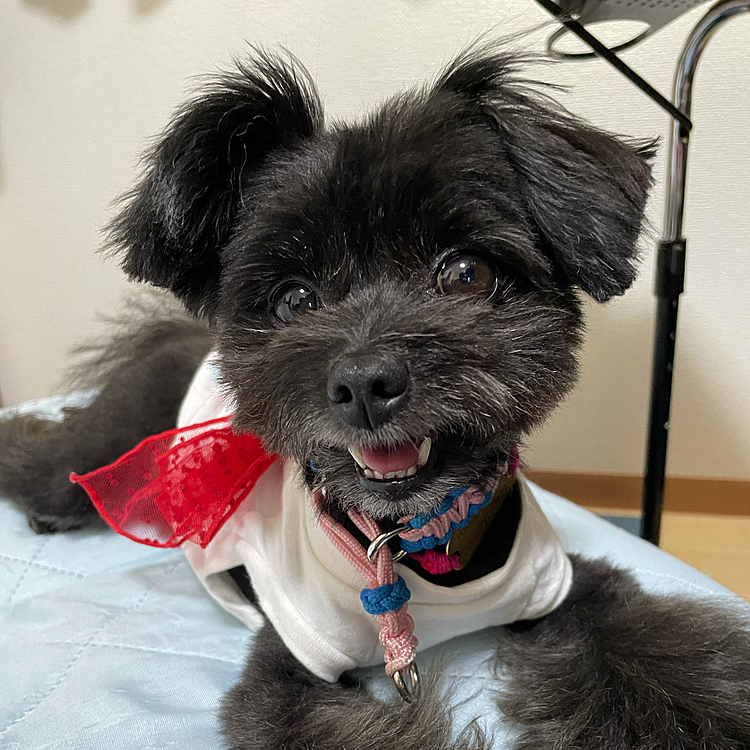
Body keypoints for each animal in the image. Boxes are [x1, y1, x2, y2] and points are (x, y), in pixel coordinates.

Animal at [1, 48, 750, 750]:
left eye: (467, 273)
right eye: (293, 300)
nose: (364, 382)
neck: (423, 546)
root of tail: (190, 339)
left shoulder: (562, 583)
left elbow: (648, 646)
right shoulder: (292, 666)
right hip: (115, 437)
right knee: (51, 456)